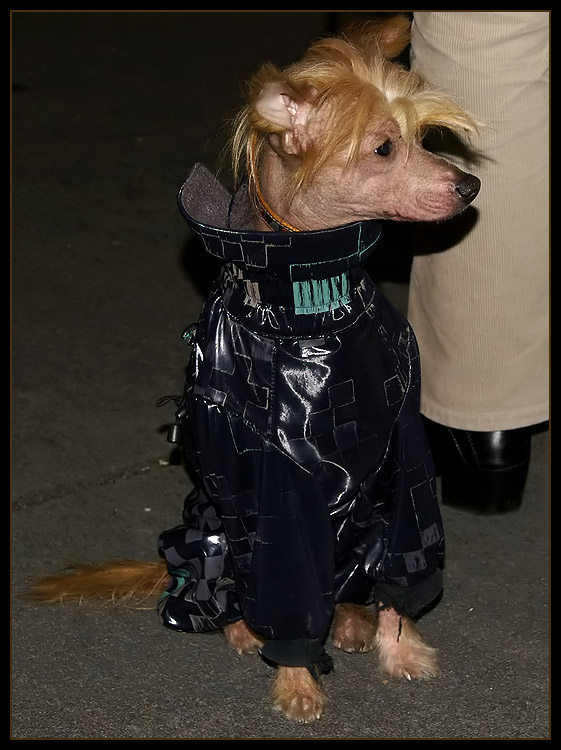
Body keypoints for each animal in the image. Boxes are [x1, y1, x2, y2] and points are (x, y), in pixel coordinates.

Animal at [35, 16, 480, 724]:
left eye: (417, 137)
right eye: (383, 148)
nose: (470, 188)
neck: (315, 309)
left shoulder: (404, 456)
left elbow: (403, 574)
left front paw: (401, 647)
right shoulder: (277, 485)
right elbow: (287, 593)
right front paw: (297, 681)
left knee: (351, 585)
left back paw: (350, 619)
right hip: (211, 530)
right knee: (232, 593)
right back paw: (246, 629)